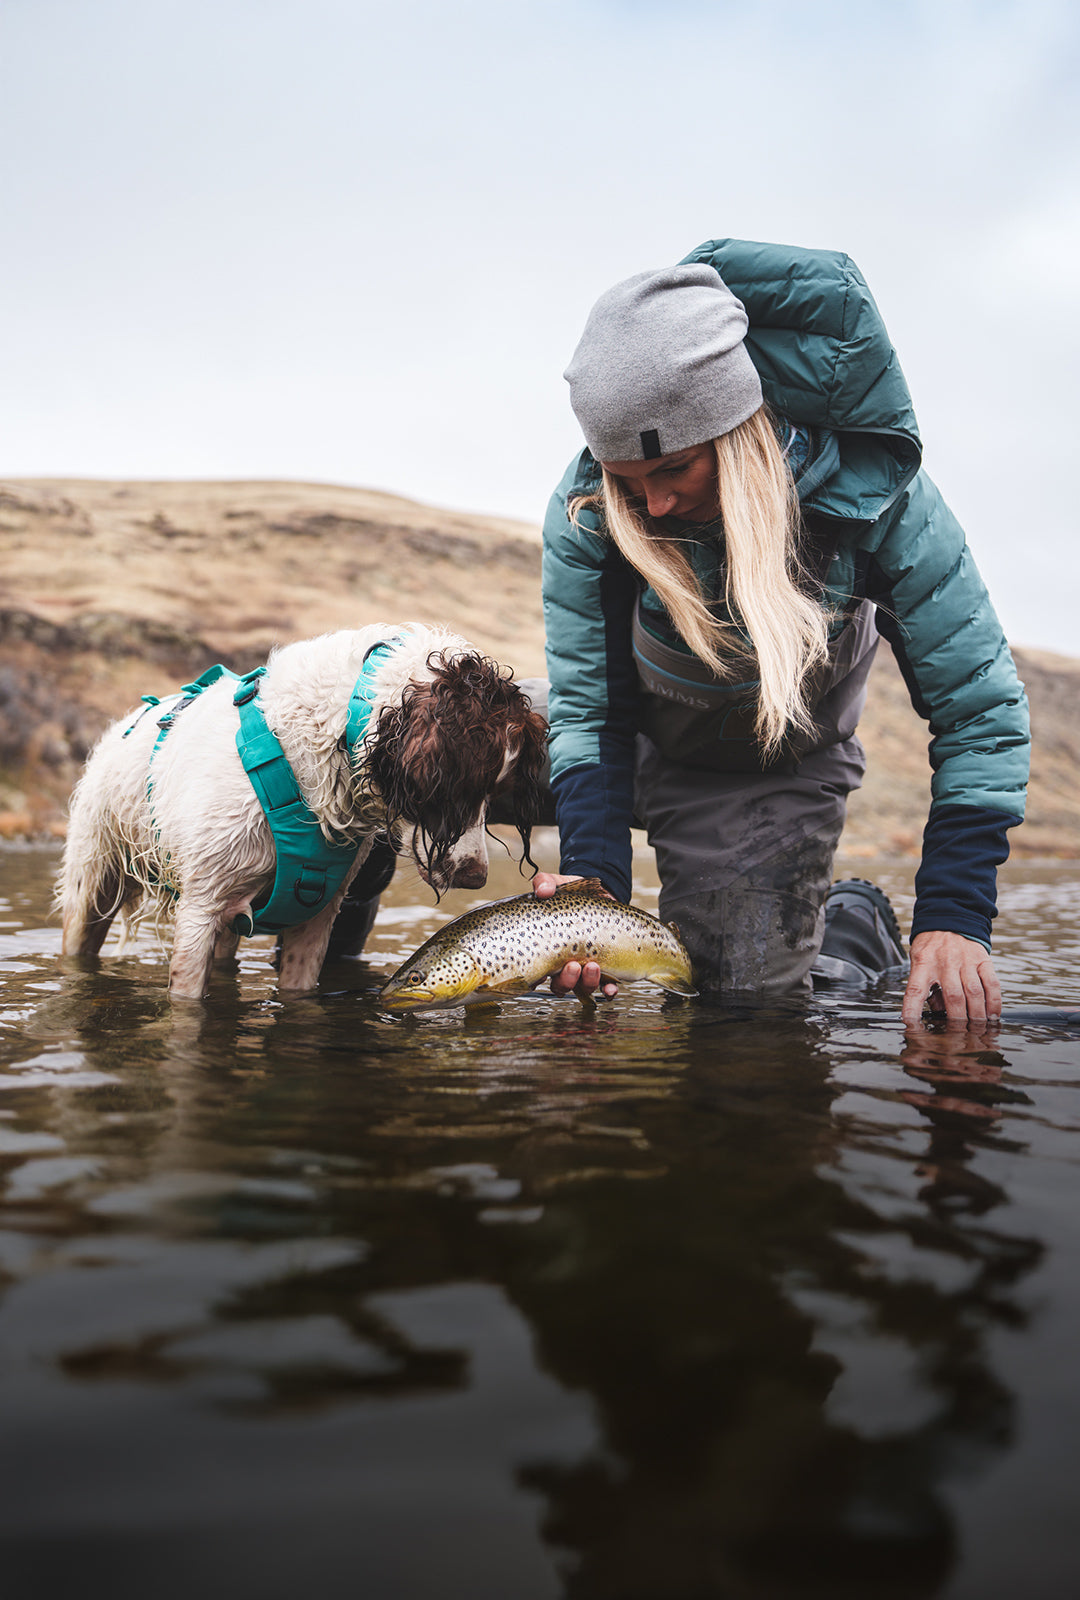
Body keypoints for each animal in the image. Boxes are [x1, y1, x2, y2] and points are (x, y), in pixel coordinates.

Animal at [57, 624, 550, 998]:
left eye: (497, 793)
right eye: (457, 787)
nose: (476, 877)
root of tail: (128, 721)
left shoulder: (315, 918)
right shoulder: (201, 907)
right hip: (93, 883)